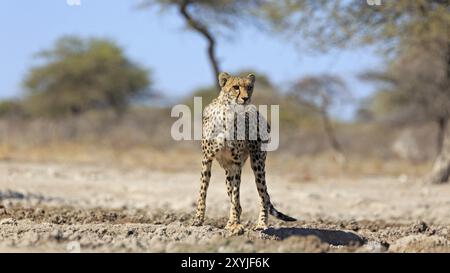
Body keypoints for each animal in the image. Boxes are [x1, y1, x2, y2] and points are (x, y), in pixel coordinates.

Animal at [192, 71, 298, 233]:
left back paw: (261, 224)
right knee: (239, 199)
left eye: (249, 87)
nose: (245, 98)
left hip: (257, 163)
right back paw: (231, 222)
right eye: (236, 87)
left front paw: (236, 224)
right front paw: (198, 219)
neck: (229, 113)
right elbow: (203, 191)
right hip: (228, 172)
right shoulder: (207, 159)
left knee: (263, 196)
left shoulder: (236, 162)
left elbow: (236, 196)